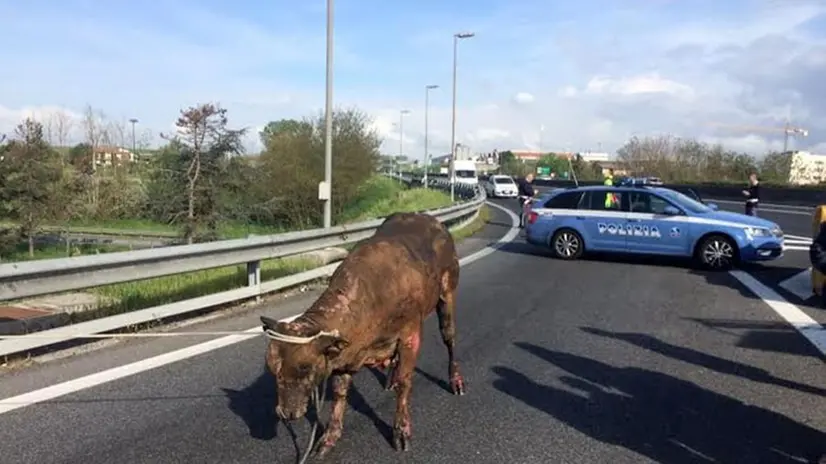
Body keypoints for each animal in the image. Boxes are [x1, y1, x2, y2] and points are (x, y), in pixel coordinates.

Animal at [260, 211, 464, 456]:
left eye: (304, 367)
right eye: (273, 369)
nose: (285, 413)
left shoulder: (410, 334)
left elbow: (405, 382)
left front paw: (401, 431)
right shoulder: (345, 356)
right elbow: (339, 392)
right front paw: (329, 437)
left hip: (447, 293)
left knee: (449, 338)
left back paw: (455, 380)